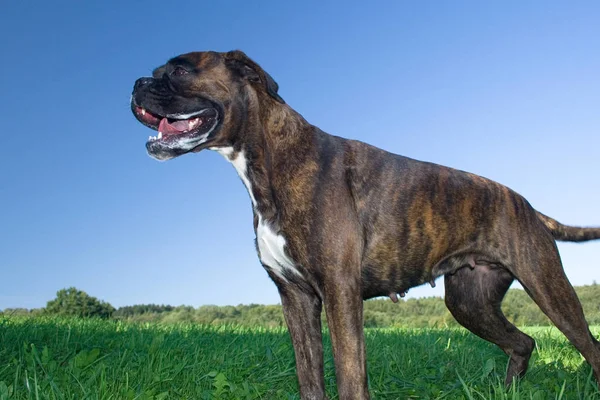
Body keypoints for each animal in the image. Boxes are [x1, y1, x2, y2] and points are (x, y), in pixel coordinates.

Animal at [131, 50, 600, 400]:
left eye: (178, 71)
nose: (136, 83)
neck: (271, 160)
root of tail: (526, 204)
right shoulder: (295, 298)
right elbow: (309, 377)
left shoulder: (340, 293)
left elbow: (350, 377)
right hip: (471, 303)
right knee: (523, 342)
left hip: (548, 288)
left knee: (589, 347)